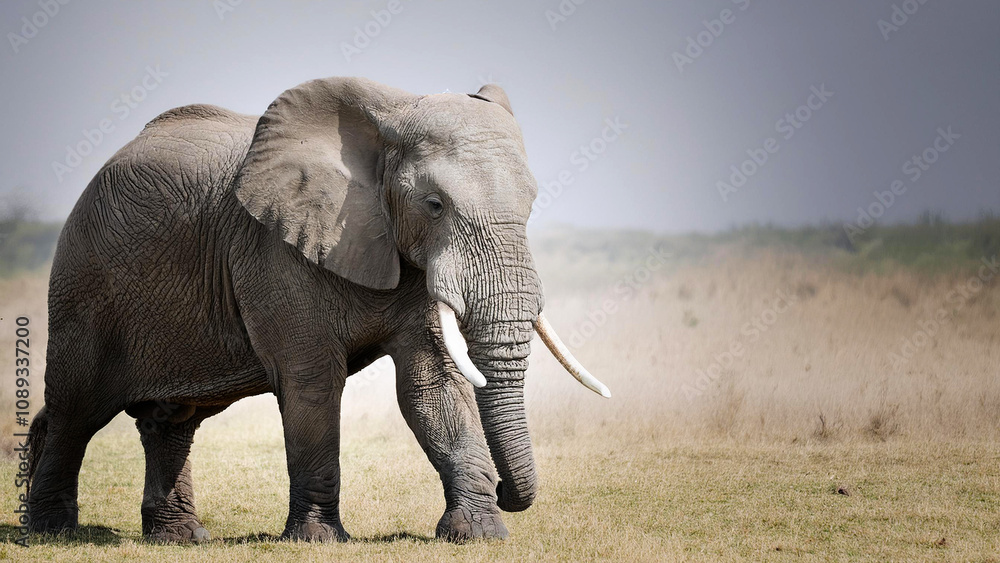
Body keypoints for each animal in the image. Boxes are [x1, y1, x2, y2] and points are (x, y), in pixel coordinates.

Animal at [26, 77, 610, 543]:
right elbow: (313, 383)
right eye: (434, 205)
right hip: (83, 281)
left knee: (172, 420)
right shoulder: (274, 247)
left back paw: (180, 538)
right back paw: (52, 533)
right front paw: (318, 540)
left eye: (531, 206)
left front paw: (479, 535)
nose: (508, 489)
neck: (388, 117)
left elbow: (432, 386)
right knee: (76, 409)